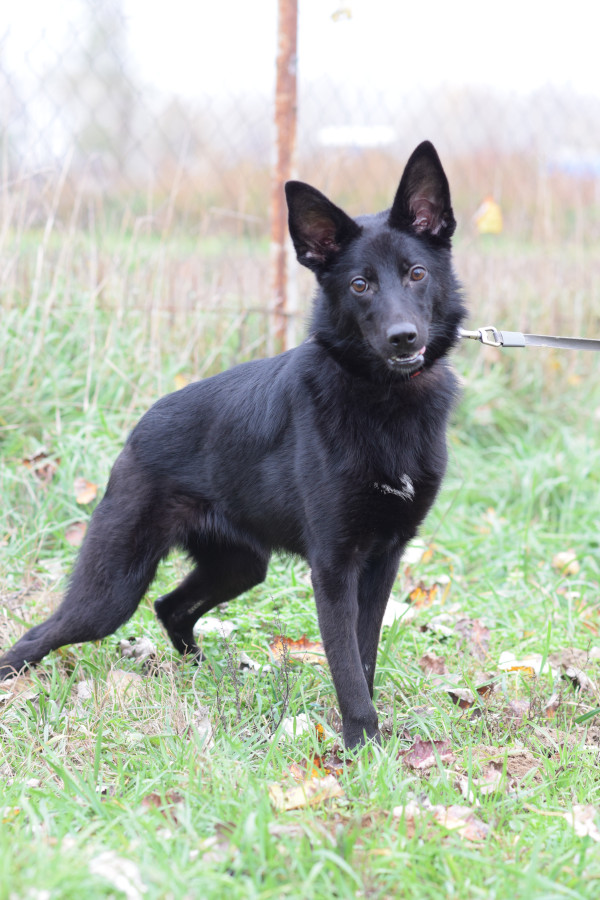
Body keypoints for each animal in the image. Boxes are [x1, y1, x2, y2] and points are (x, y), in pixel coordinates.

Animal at [0, 141, 466, 749]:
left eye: (416, 273)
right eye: (359, 285)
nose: (403, 338)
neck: (384, 402)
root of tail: (139, 429)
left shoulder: (382, 560)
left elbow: (364, 656)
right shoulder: (334, 568)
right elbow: (346, 664)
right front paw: (363, 744)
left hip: (240, 566)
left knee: (170, 606)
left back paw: (206, 677)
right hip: (112, 591)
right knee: (42, 633)